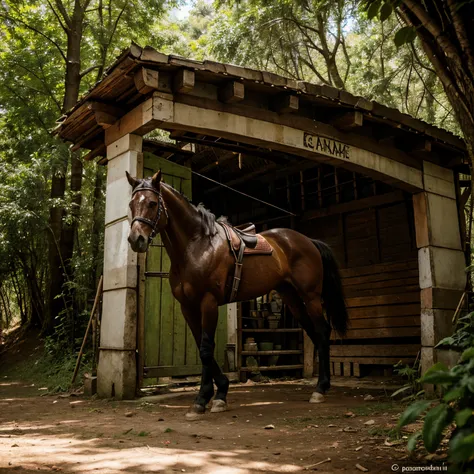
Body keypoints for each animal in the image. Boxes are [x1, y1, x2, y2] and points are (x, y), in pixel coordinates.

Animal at [126, 169, 348, 418]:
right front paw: (216, 393)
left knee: (322, 331)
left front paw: (208, 398)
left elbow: (206, 349)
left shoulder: (208, 302)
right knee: (314, 333)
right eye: (131, 204)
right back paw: (321, 386)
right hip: (292, 298)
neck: (197, 245)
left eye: (152, 203)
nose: (136, 240)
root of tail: (308, 240)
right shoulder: (188, 307)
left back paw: (320, 389)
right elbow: (203, 348)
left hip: (310, 297)